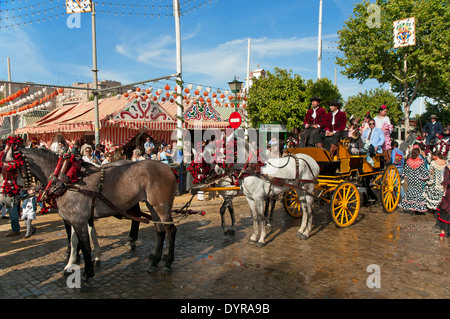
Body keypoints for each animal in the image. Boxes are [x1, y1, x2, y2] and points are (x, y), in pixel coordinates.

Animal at [0, 146, 178, 292]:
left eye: (7, 169)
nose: (6, 199)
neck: (65, 180)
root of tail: (168, 168)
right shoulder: (74, 219)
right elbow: (74, 242)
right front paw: (71, 265)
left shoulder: (79, 220)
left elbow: (85, 246)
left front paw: (87, 275)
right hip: (151, 205)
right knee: (160, 230)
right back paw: (154, 262)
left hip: (161, 206)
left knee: (170, 230)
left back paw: (167, 263)